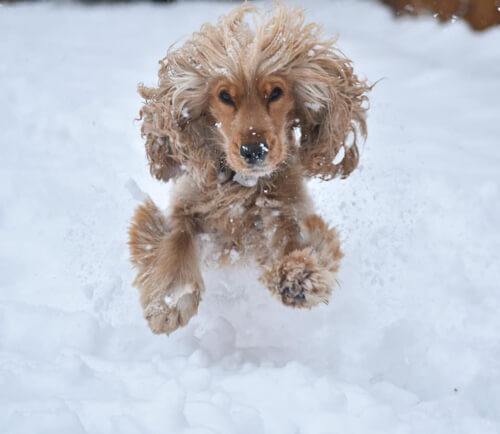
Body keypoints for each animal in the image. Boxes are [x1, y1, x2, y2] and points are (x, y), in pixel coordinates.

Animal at [129, 3, 372, 334]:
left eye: (275, 93)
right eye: (225, 96)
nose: (254, 150)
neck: (241, 186)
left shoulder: (285, 211)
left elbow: (294, 239)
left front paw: (299, 277)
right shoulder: (187, 206)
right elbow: (176, 238)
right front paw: (171, 300)